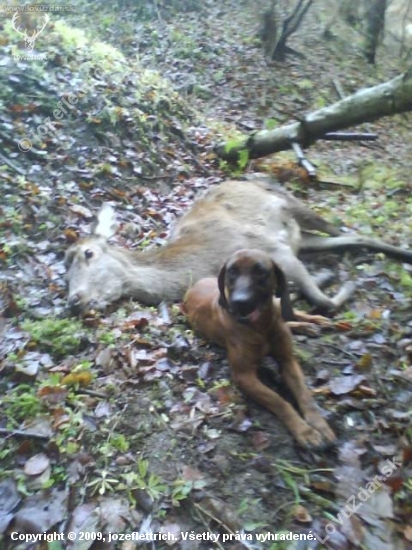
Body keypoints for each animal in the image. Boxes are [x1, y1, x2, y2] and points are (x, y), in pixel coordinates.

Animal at [185, 250, 336, 452]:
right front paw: (305, 431)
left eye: (260, 271)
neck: (261, 326)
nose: (239, 303)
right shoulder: (245, 376)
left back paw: (314, 321)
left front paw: (319, 424)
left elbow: (305, 395)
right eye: (232, 271)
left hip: (280, 306)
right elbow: (278, 400)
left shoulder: (288, 361)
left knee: (290, 313)